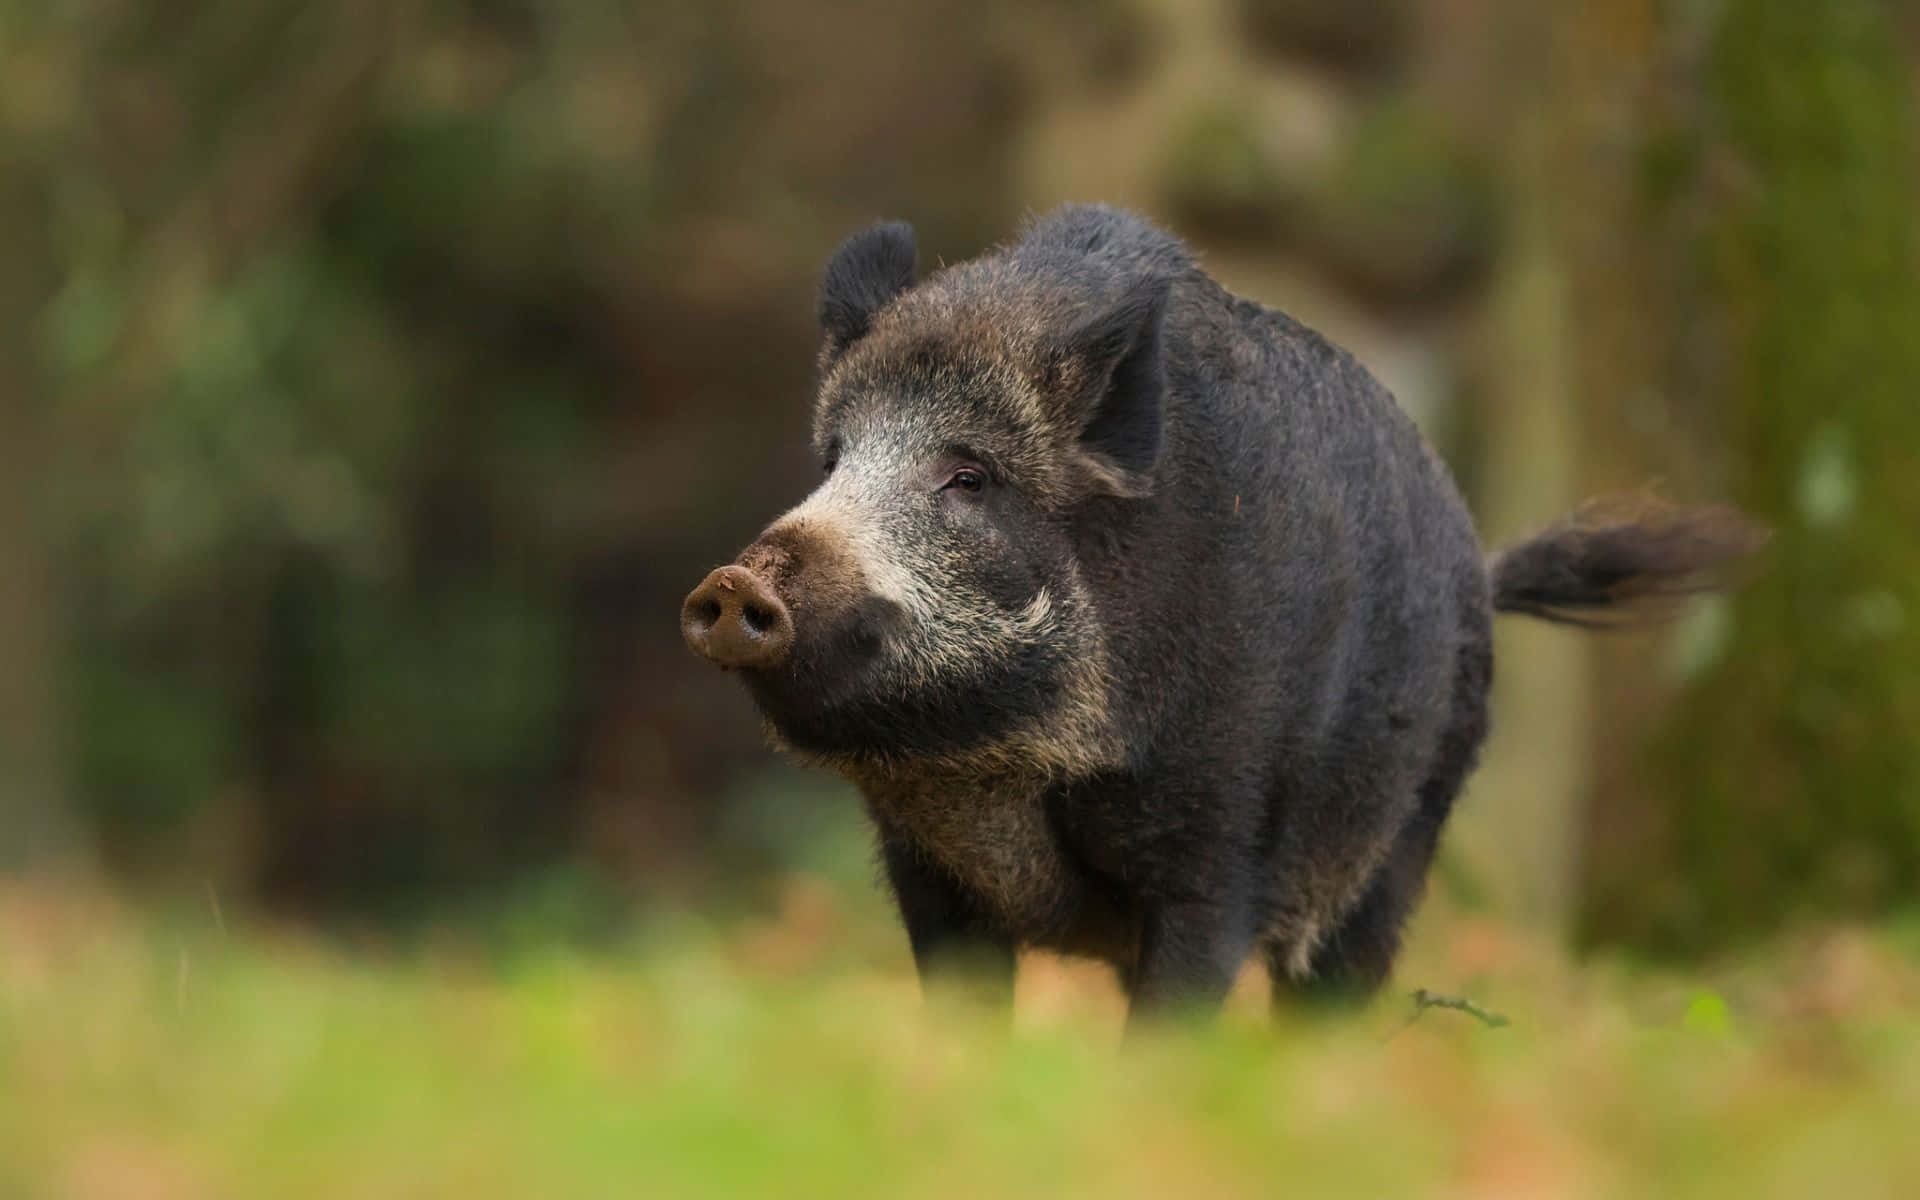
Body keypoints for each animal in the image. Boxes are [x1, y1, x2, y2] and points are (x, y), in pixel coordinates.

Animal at [680, 205, 1762, 1020]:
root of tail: (1479, 572)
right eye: (834, 458)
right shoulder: (927, 874)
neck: (1008, 770)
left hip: (1400, 839)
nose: (734, 584)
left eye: (969, 476)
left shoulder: (1216, 834)